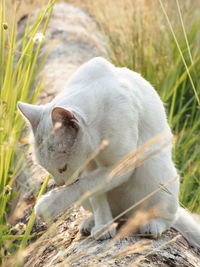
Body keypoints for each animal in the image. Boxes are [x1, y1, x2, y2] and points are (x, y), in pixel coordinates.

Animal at [18, 57, 199, 248]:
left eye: (62, 168)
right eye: (48, 169)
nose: (60, 183)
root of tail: (128, 213)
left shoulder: (121, 165)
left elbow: (83, 185)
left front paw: (49, 203)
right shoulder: (89, 167)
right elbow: (95, 193)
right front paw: (103, 226)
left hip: (154, 171)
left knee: (169, 216)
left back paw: (153, 225)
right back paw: (93, 222)